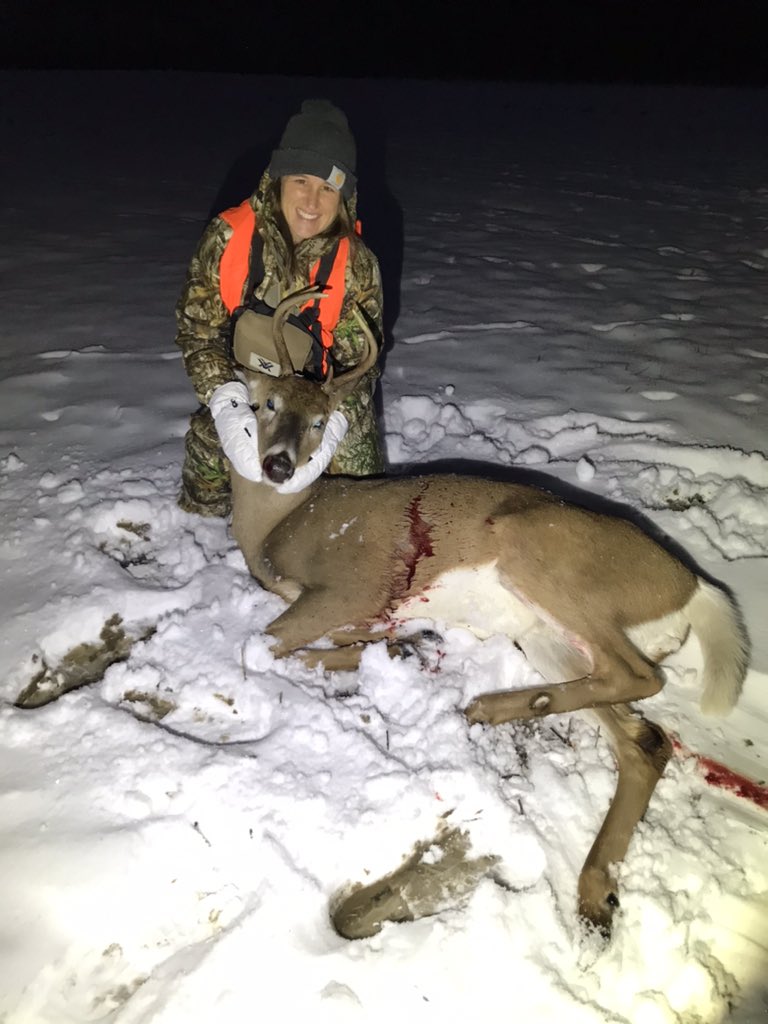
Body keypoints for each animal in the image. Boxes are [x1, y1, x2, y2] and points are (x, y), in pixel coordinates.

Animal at [228, 287, 750, 939]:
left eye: (321, 422)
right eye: (265, 403)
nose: (278, 464)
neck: (281, 526)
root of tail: (694, 586)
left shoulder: (349, 588)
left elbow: (266, 647)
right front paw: (392, 650)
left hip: (541, 556)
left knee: (640, 678)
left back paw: (494, 707)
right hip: (549, 638)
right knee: (644, 740)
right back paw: (593, 891)